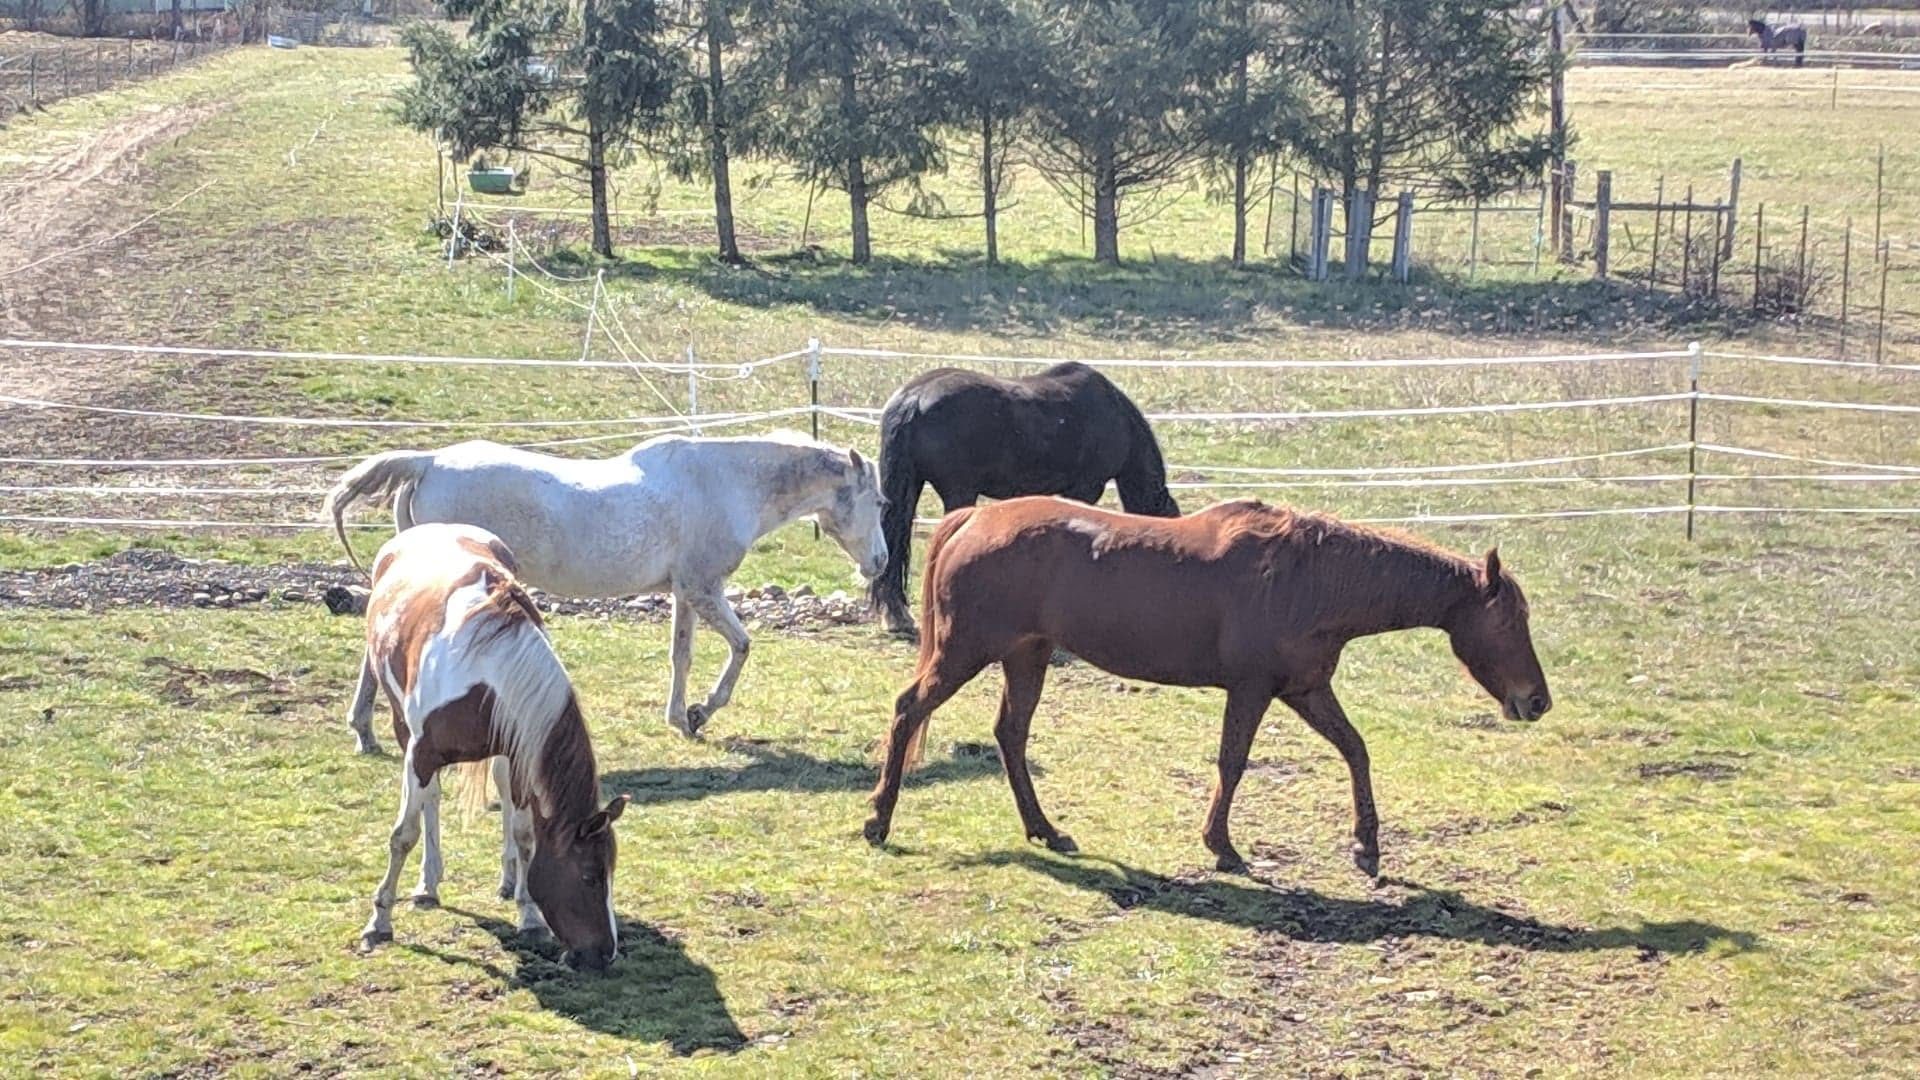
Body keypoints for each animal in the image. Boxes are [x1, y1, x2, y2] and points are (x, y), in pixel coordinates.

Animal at [326, 431, 887, 748]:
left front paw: (681, 719)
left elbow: (681, 655)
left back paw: (365, 732)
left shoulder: (685, 593)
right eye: (880, 502)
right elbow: (743, 646)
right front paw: (702, 710)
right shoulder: (705, 589)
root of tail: (430, 462)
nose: (880, 563)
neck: (726, 483)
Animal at [358, 522, 629, 970]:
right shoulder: (421, 754)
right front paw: (379, 921)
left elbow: (524, 834)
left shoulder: (520, 753)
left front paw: (529, 915)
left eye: (611, 872)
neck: (485, 671)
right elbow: (404, 834)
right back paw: (428, 884)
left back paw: (506, 880)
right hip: (405, 732)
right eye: (590, 876)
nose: (605, 954)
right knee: (430, 801)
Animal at [863, 497, 1552, 878]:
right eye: (1508, 621)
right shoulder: (1252, 689)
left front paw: (1367, 846)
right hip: (966, 653)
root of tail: (976, 516)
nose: (1537, 701)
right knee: (909, 710)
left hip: (1025, 658)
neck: (1312, 577)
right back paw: (879, 820)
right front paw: (1222, 847)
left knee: (1010, 735)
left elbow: (1355, 750)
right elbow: (1233, 761)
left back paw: (1047, 831)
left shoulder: (1304, 690)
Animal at [868, 362, 1180, 637]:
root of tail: (914, 398)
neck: (1115, 414)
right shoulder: (1086, 489)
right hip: (959, 491)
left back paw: (897, 616)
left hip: (911, 486)